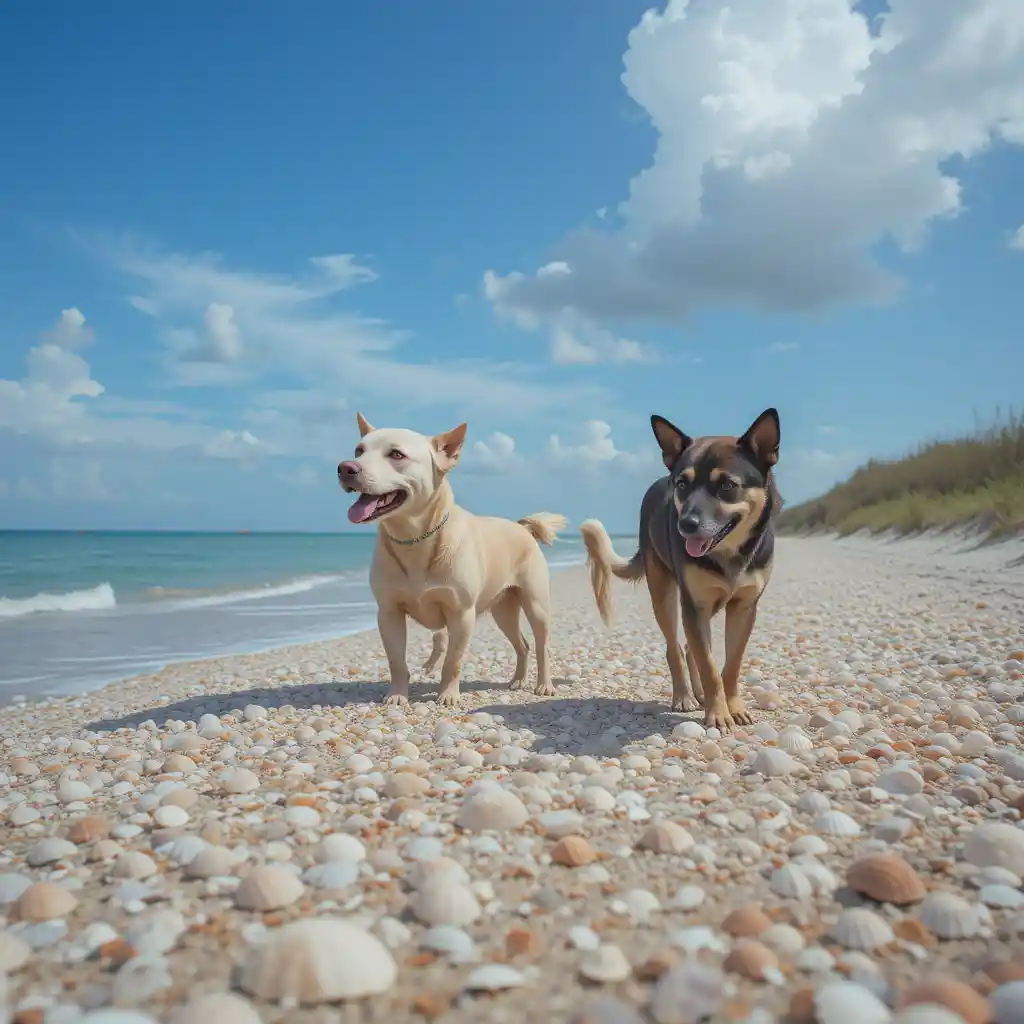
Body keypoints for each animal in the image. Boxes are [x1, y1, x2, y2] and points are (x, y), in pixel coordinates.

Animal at [337, 411, 569, 708]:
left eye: (396, 454)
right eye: (359, 450)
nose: (345, 468)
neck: (414, 538)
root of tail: (523, 528)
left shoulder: (461, 614)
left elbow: (453, 662)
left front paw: (447, 695)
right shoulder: (389, 612)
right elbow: (397, 660)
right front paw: (397, 695)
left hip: (536, 604)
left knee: (541, 645)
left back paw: (544, 685)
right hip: (503, 610)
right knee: (522, 644)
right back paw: (517, 680)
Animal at [581, 411, 778, 733]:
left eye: (727, 485)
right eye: (683, 485)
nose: (685, 524)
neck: (728, 554)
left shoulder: (744, 607)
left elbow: (731, 664)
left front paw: (733, 706)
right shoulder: (694, 605)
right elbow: (710, 666)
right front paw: (718, 714)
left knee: (688, 647)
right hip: (666, 596)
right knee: (674, 648)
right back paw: (685, 696)